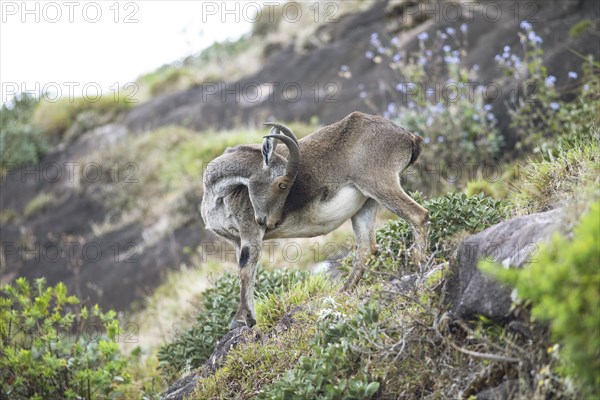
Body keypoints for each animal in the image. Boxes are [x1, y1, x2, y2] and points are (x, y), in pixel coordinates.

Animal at [202, 111, 426, 326]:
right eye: (283, 184)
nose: (271, 222)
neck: (218, 195)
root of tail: (408, 137)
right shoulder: (236, 238)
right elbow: (245, 270)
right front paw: (246, 318)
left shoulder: (250, 230)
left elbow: (246, 268)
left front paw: (241, 320)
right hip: (366, 202)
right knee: (367, 248)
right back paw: (343, 291)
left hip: (379, 182)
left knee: (418, 216)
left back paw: (422, 268)